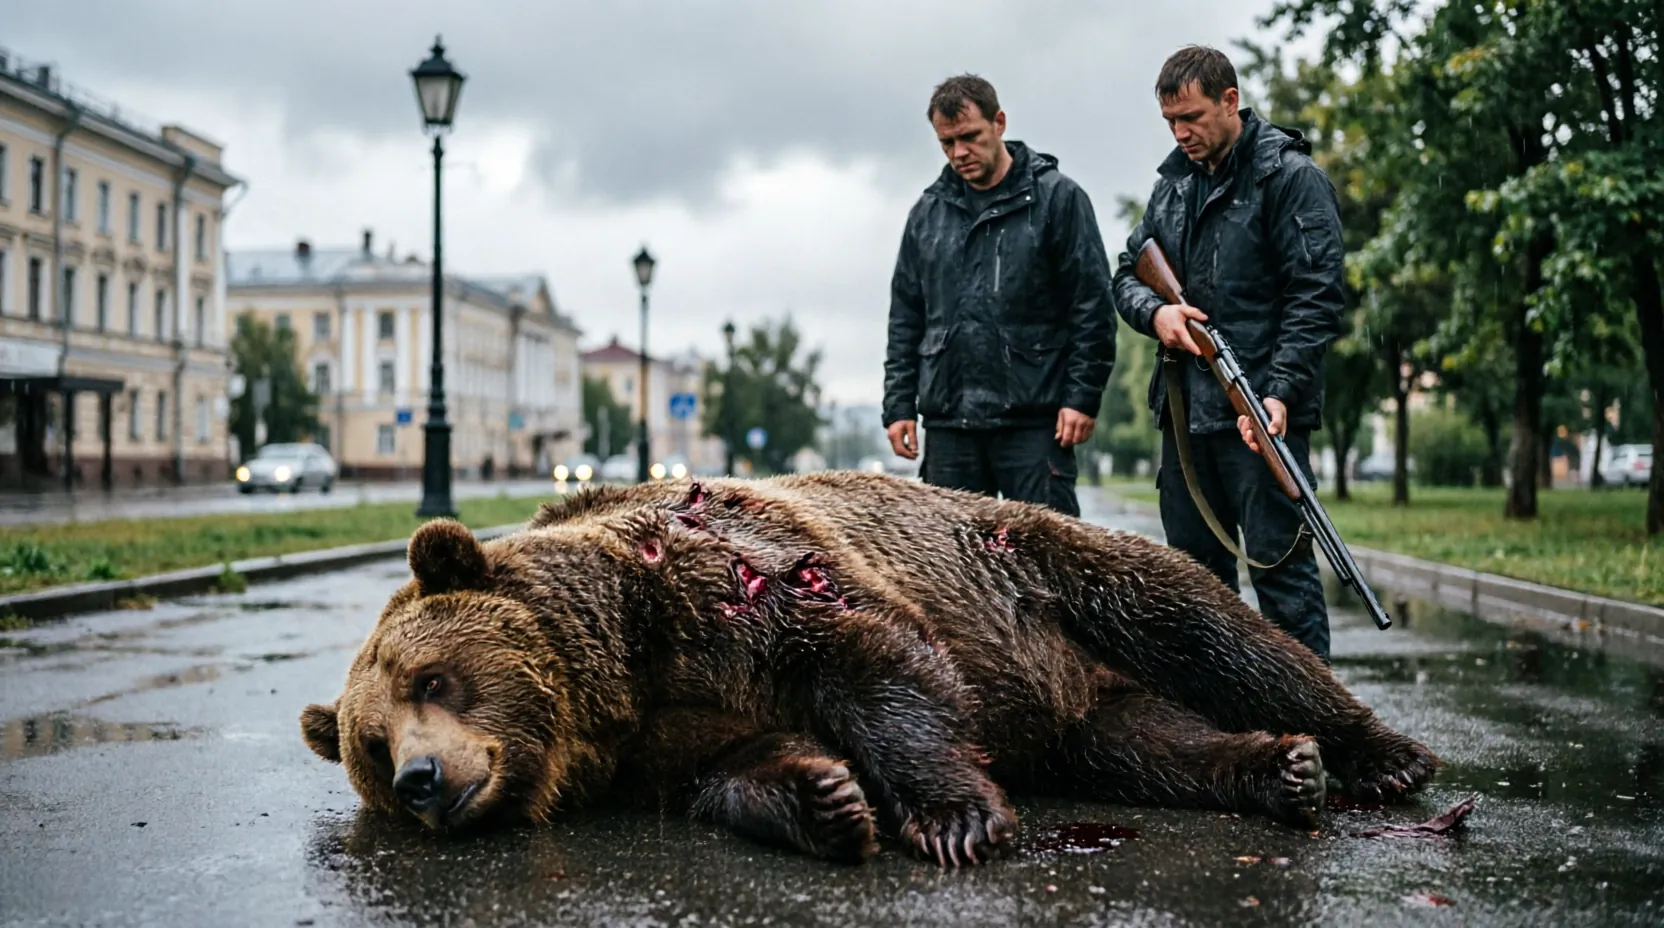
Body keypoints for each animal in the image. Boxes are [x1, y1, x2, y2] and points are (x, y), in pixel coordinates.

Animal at [300, 470, 1439, 867]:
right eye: (370, 742)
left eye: (433, 678)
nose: (423, 778)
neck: (621, 664)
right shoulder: (666, 732)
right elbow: (734, 767)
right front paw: (827, 801)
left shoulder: (738, 581)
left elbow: (874, 664)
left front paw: (950, 817)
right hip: (1075, 712)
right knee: (1145, 747)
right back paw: (1277, 769)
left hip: (1039, 571)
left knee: (1200, 622)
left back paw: (1374, 751)